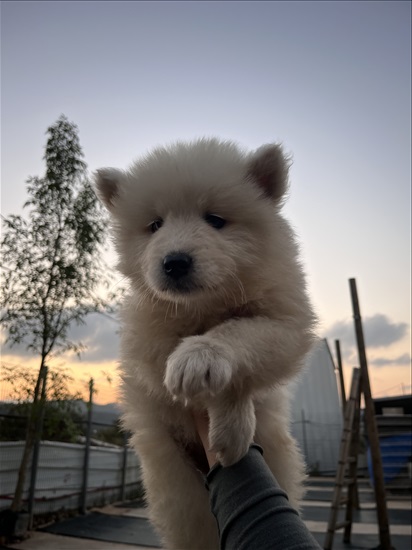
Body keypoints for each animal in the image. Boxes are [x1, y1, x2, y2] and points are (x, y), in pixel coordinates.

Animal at [95, 140, 318, 548]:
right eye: (155, 225)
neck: (205, 307)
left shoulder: (285, 322)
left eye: (215, 219)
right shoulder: (148, 342)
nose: (174, 262)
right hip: (180, 498)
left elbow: (238, 334)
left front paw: (205, 366)